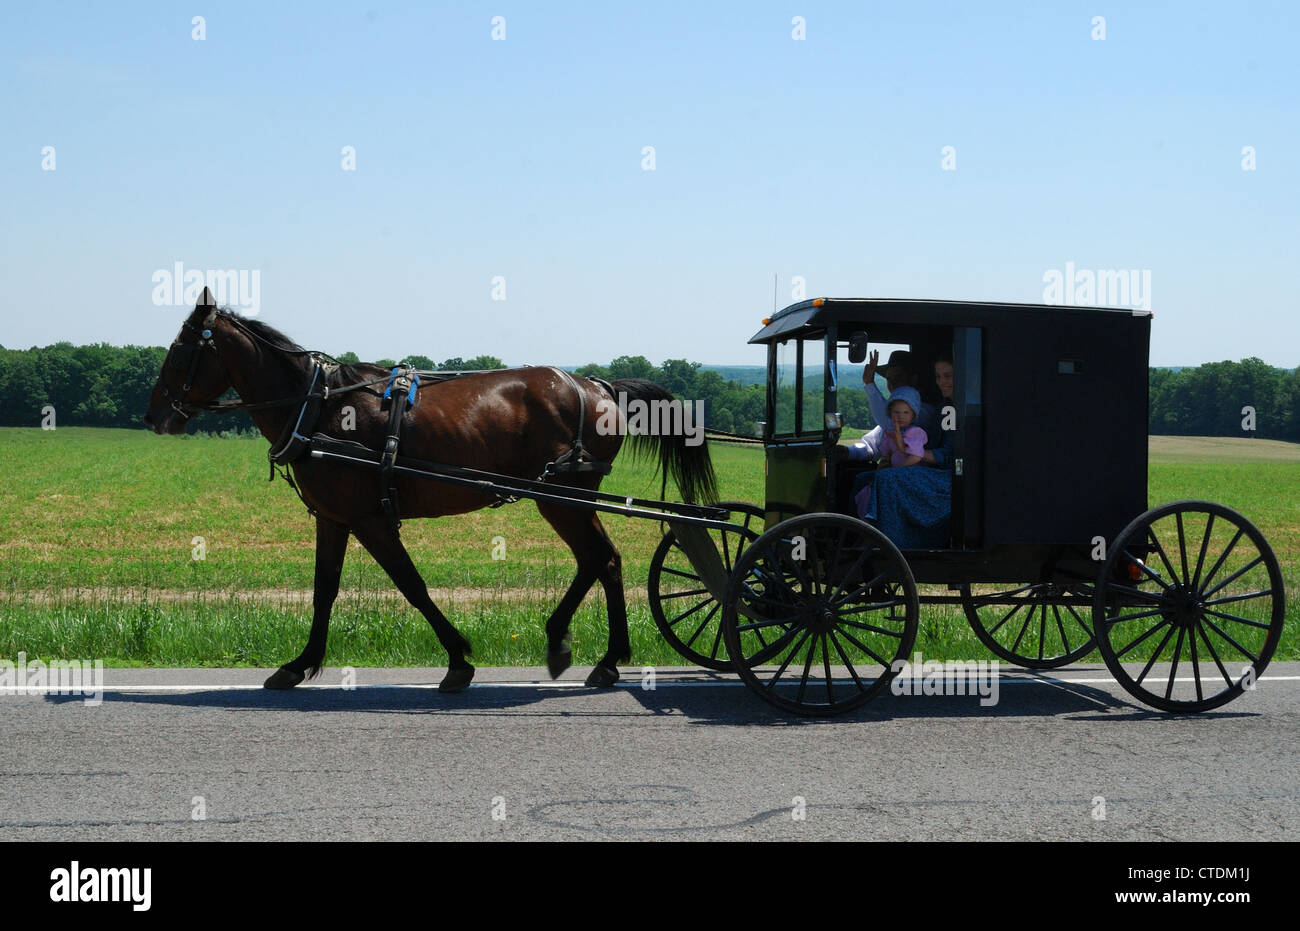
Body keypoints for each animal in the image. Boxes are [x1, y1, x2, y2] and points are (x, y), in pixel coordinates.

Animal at [146, 291, 717, 691]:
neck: (320, 407)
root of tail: (598, 385)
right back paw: (591, 653)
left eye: (178, 351)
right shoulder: (334, 518)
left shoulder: (371, 520)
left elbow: (412, 586)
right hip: (564, 500)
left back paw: (586, 651)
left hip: (561, 499)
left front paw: (459, 661)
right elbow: (324, 590)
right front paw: (299, 664)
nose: (154, 415)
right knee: (602, 561)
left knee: (600, 559)